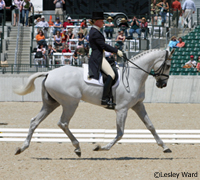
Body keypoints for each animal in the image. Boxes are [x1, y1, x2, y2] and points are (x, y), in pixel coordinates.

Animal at [14, 48, 174, 156]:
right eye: (167, 65)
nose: (163, 84)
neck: (134, 76)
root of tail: (49, 72)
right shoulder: (122, 109)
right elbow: (120, 133)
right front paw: (101, 147)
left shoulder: (138, 105)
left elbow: (150, 126)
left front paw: (165, 147)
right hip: (70, 103)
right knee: (63, 123)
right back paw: (77, 147)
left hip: (51, 104)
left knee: (35, 121)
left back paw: (22, 147)